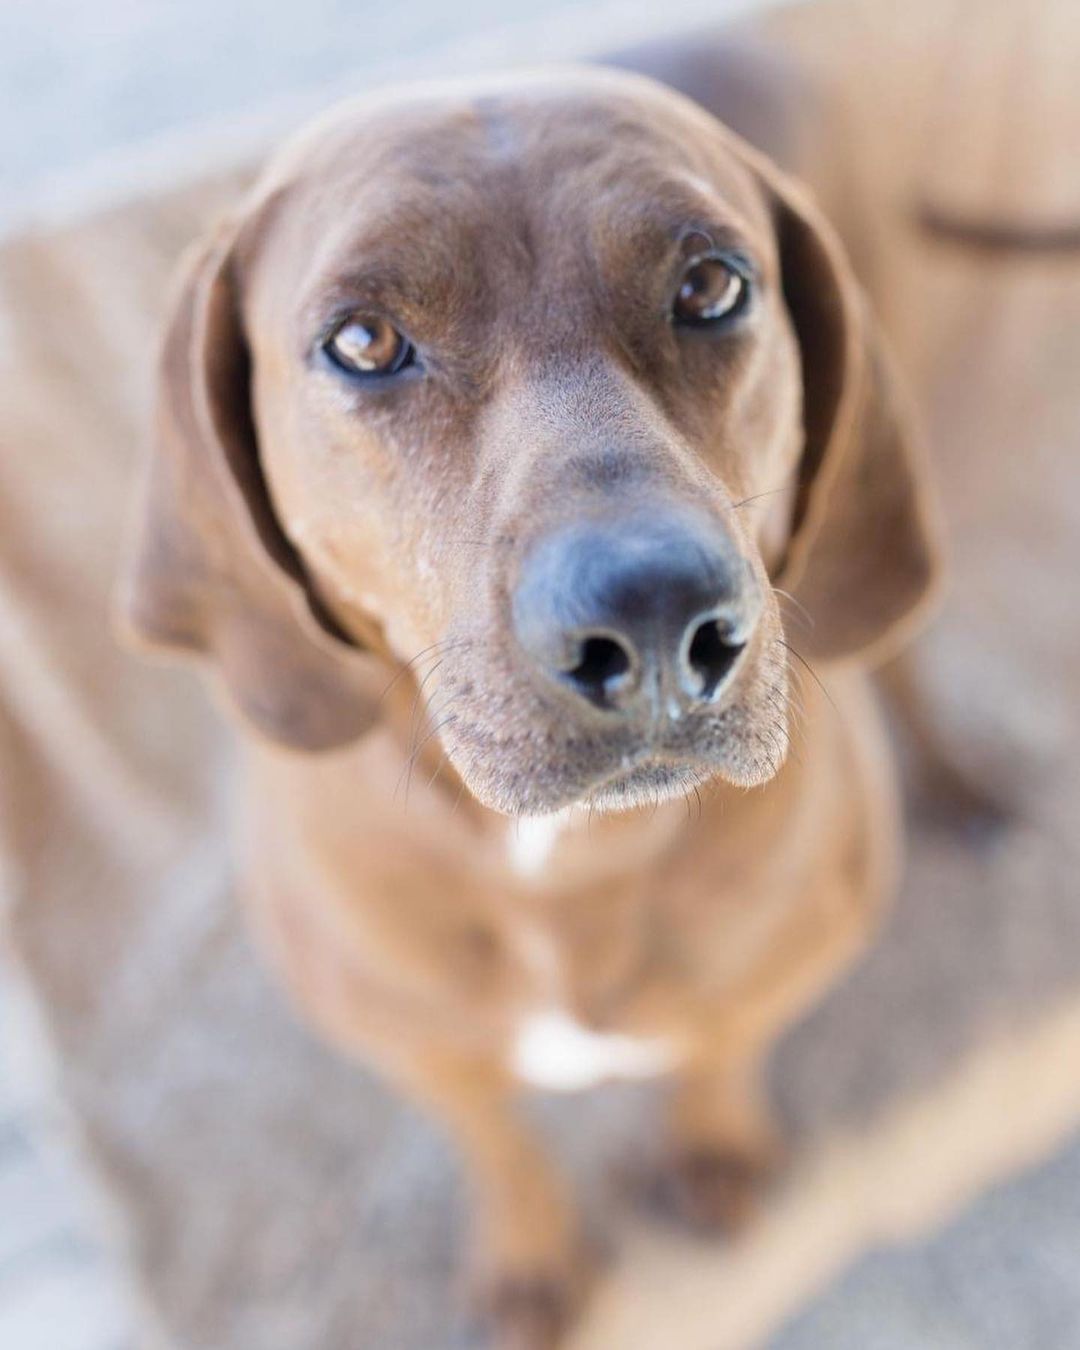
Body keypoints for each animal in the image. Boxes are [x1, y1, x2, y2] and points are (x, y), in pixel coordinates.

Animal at [122, 63, 939, 1350]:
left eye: (710, 286)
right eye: (363, 341)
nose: (654, 620)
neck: (564, 866)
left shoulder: (785, 965)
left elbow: (721, 1048)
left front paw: (712, 1150)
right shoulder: (413, 1043)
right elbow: (491, 1136)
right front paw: (528, 1255)